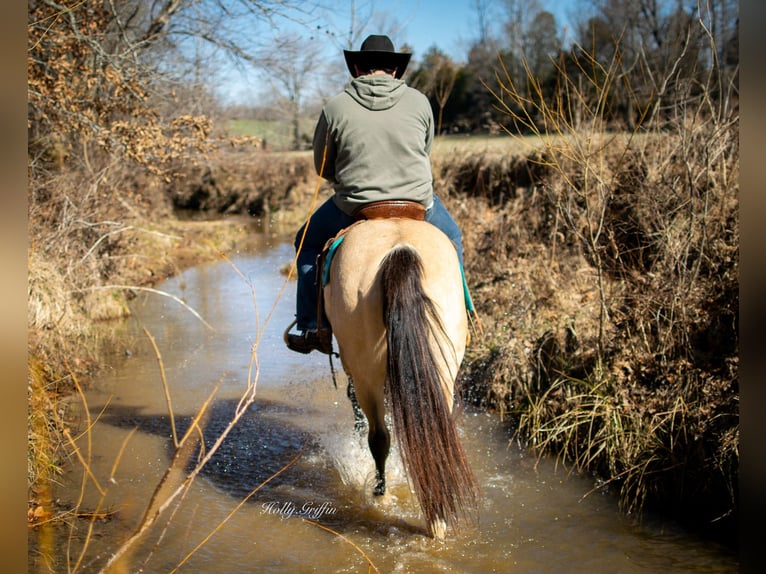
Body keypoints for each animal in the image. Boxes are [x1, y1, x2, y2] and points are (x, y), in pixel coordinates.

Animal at [320, 206, 476, 540]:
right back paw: (436, 518)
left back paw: (380, 493)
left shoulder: (354, 367)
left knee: (378, 437)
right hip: (442, 367)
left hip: (365, 370)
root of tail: (400, 250)